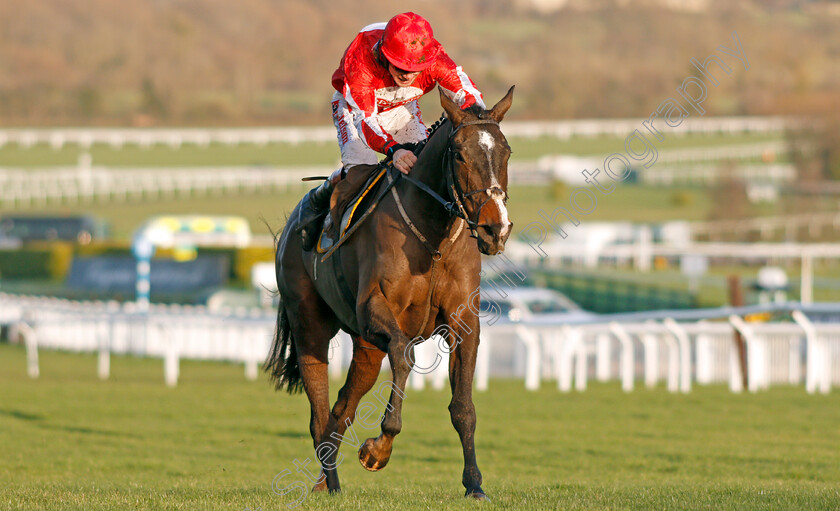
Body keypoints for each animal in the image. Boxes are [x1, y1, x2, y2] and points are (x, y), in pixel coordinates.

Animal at [266, 86, 516, 502]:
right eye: (459, 154)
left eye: (506, 151)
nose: (495, 229)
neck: (432, 238)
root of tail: (287, 230)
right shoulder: (375, 311)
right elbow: (403, 355)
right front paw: (378, 448)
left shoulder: (463, 322)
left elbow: (463, 407)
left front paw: (474, 484)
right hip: (310, 327)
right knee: (320, 413)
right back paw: (330, 483)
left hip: (366, 348)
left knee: (340, 410)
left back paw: (329, 482)